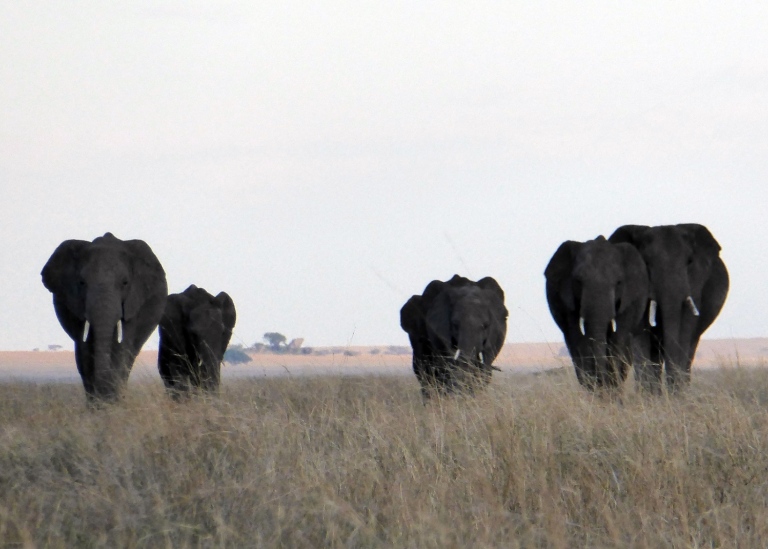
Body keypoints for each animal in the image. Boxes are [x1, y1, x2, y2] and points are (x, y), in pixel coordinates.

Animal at [41, 229, 167, 400]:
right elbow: (85, 351)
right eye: (82, 282)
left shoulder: (134, 301)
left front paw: (112, 401)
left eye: (125, 283)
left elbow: (122, 348)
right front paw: (98, 403)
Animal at [544, 235, 652, 390]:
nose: (601, 382)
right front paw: (595, 387)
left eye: (618, 282)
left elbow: (619, 337)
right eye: (578, 281)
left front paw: (611, 387)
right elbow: (576, 336)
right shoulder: (566, 296)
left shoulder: (630, 298)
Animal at [608, 222, 728, 390]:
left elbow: (684, 330)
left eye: (689, 262)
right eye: (647, 263)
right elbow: (641, 335)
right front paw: (650, 395)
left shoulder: (695, 283)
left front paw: (677, 393)